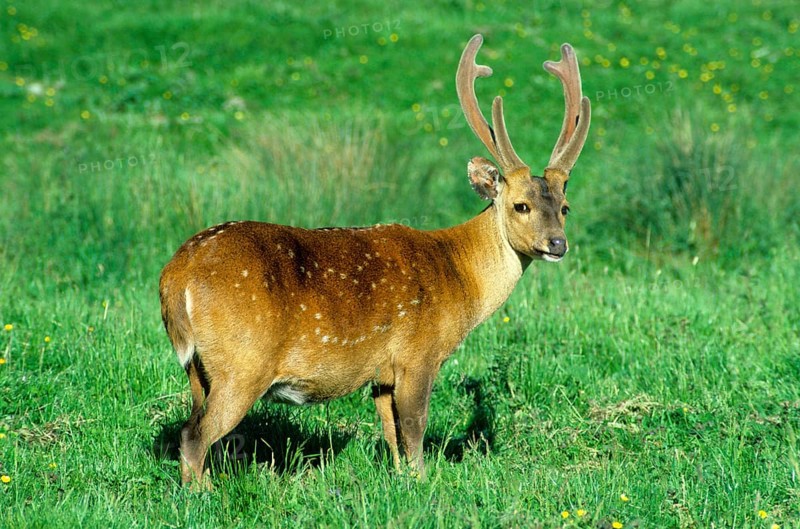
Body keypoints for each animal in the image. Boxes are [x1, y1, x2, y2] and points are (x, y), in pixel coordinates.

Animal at [159, 34, 590, 488]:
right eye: (521, 205)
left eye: (565, 208)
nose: (557, 244)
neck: (458, 276)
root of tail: (175, 276)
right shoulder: (418, 353)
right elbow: (414, 428)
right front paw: (423, 482)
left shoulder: (381, 374)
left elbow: (390, 432)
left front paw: (400, 479)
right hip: (242, 362)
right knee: (194, 435)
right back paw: (204, 493)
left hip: (198, 368)